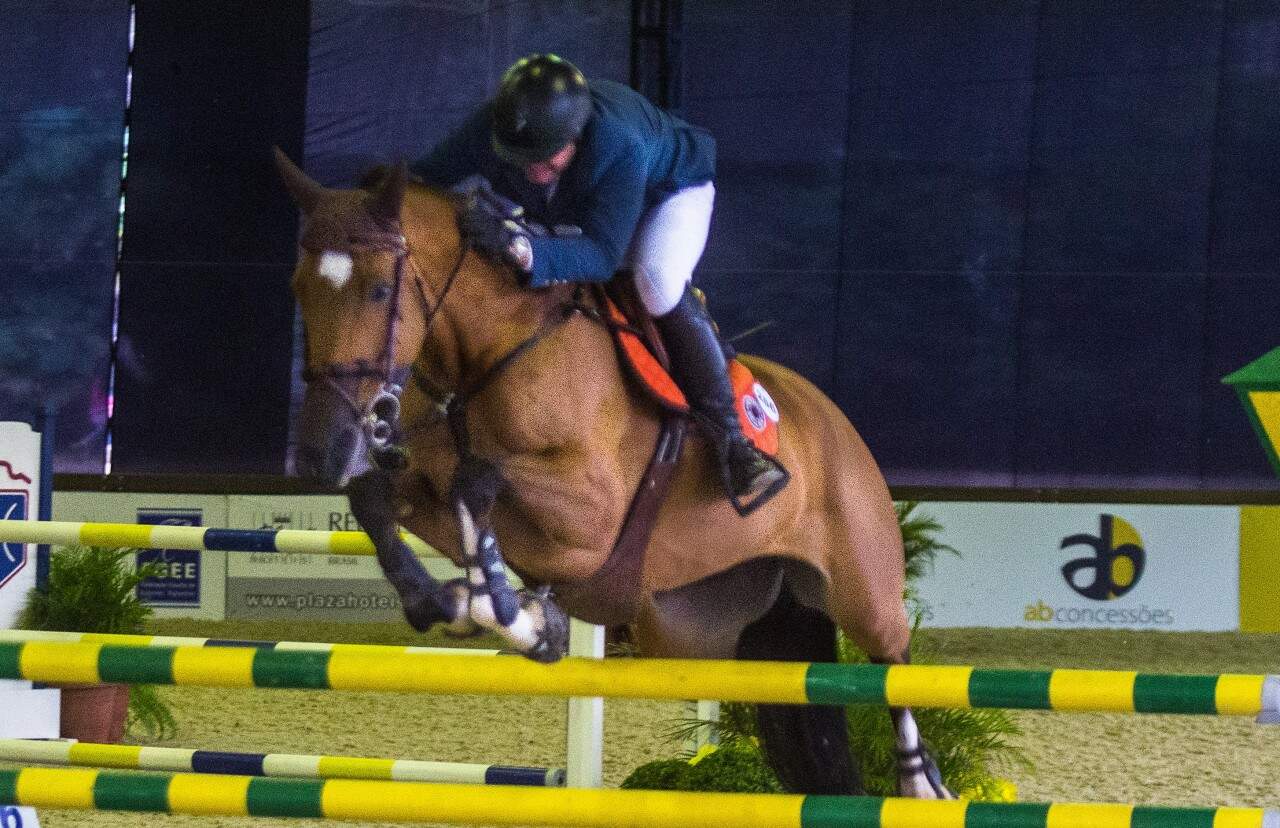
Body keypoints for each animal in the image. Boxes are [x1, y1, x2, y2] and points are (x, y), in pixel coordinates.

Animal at [274, 149, 951, 799]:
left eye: (376, 293)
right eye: (298, 289)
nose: (320, 454)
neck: (488, 357)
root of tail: (834, 418)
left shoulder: (591, 522)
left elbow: (477, 484)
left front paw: (513, 612)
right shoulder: (430, 486)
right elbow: (379, 500)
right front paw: (462, 602)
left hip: (862, 587)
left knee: (894, 664)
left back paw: (920, 782)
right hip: (701, 628)